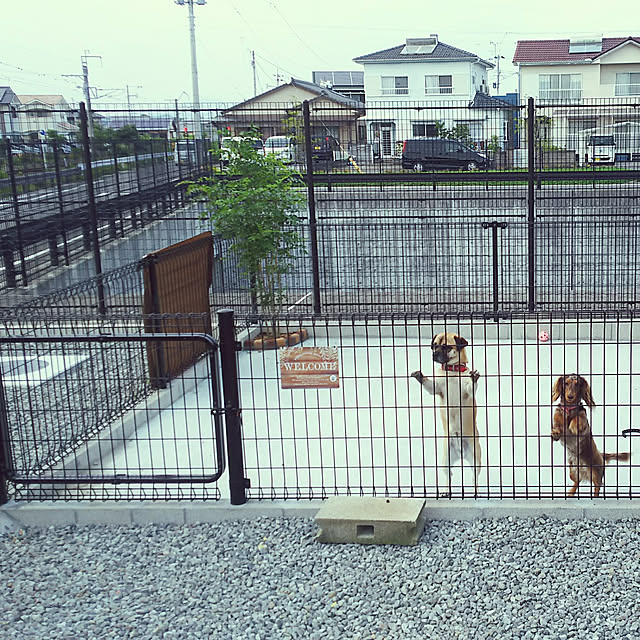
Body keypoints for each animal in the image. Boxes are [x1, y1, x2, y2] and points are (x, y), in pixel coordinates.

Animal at [411, 332, 481, 493]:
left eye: (446, 347)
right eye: (434, 345)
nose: (434, 354)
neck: (452, 371)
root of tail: (461, 453)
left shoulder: (468, 391)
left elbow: (471, 386)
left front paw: (474, 378)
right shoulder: (436, 388)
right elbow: (429, 384)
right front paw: (419, 376)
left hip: (476, 459)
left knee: (474, 477)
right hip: (445, 461)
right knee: (449, 475)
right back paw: (445, 490)